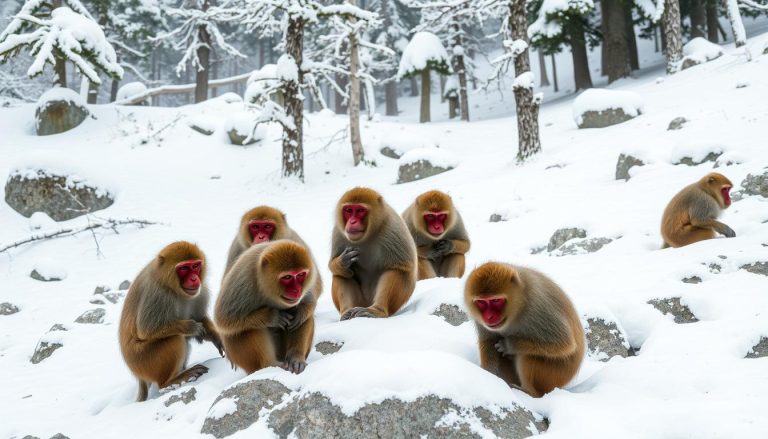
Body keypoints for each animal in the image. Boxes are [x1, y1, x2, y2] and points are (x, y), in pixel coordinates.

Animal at [119, 241, 224, 402]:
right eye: (183, 268)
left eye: (195, 266)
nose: (194, 279)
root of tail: (137, 375)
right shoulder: (157, 295)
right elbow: (146, 330)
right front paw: (191, 327)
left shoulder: (201, 292)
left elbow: (200, 318)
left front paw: (216, 337)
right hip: (144, 362)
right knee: (175, 338)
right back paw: (171, 381)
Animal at [215, 239, 321, 375]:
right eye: (287, 277)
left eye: (301, 274)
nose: (297, 290)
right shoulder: (242, 281)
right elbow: (223, 320)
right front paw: (272, 316)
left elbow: (307, 304)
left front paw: (300, 312)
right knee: (245, 329)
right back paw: (270, 364)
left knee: (305, 318)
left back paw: (295, 358)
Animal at [329, 187, 418, 320]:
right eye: (349, 210)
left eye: (360, 210)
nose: (352, 222)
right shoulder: (339, 233)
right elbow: (333, 265)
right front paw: (342, 262)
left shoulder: (392, 228)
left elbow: (403, 267)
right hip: (360, 301)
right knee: (342, 274)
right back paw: (347, 312)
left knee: (394, 271)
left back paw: (376, 310)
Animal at [464, 262, 585, 397]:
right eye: (481, 302)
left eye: (495, 300)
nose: (489, 317)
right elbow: (489, 341)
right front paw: (488, 376)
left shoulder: (539, 306)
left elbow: (563, 343)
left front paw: (509, 345)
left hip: (556, 375)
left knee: (527, 356)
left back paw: (529, 392)